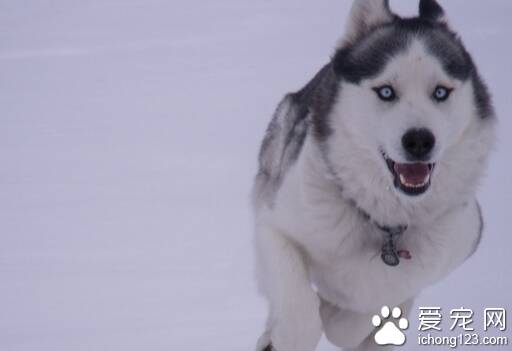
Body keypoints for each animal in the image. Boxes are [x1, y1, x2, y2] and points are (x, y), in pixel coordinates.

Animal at [254, 0, 494, 351]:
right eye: (386, 92)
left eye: (440, 92)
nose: (419, 140)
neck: (384, 224)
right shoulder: (275, 225)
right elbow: (299, 311)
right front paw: (288, 333)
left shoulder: (449, 250)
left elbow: (361, 311)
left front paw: (338, 313)